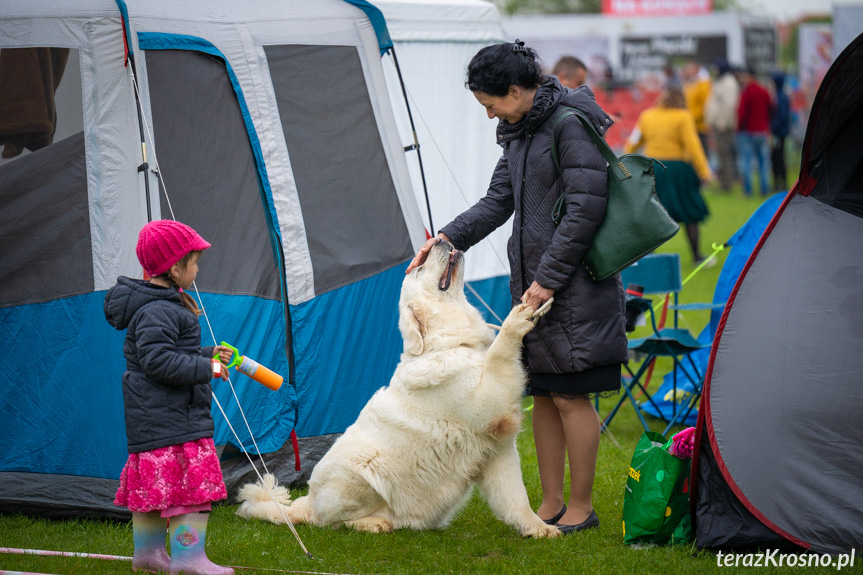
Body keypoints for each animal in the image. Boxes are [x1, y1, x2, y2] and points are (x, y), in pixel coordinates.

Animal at [236, 241, 560, 536]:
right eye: (419, 270)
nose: (440, 240)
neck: (450, 344)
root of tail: (306, 503)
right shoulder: (486, 402)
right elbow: (500, 352)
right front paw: (520, 315)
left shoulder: (499, 449)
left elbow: (516, 499)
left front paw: (538, 528)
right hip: (359, 468)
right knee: (330, 523)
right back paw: (372, 523)